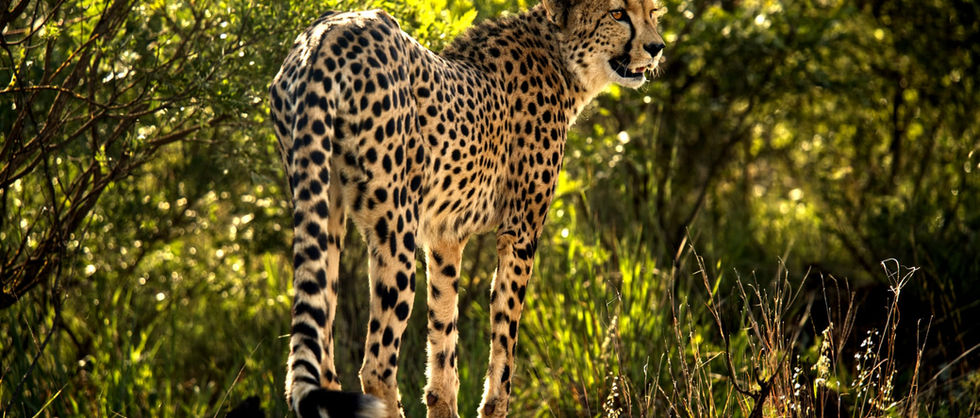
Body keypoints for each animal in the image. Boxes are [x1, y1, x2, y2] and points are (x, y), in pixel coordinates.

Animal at [268, 0, 665, 416]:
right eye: (618, 13)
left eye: (653, 12)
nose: (657, 47)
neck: (558, 55)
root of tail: (326, 34)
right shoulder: (520, 232)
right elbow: (505, 333)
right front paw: (495, 403)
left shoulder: (445, 237)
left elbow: (443, 337)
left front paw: (444, 400)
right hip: (395, 228)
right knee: (376, 367)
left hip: (323, 210)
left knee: (323, 360)